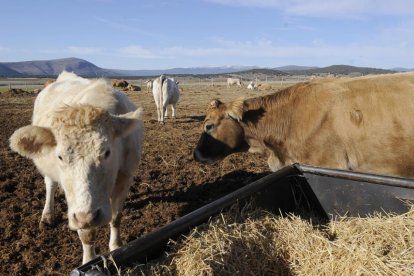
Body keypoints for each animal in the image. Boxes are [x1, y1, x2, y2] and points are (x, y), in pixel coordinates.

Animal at [8, 70, 145, 264]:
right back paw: (47, 215)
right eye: (60, 156)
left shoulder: (125, 177)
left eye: (107, 152)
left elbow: (116, 218)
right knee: (50, 185)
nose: (89, 216)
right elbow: (87, 234)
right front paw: (88, 261)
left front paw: (116, 246)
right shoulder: (77, 207)